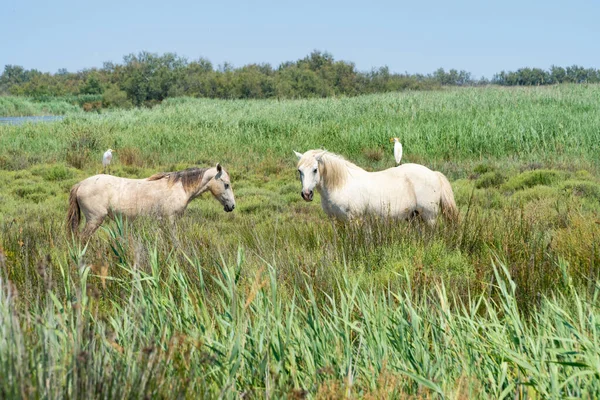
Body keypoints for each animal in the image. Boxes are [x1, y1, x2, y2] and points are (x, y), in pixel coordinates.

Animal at [66, 162, 234, 238]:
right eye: (226, 184)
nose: (231, 206)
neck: (179, 187)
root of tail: (80, 184)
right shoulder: (170, 220)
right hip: (94, 220)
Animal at [292, 150, 458, 225]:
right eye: (300, 171)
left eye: (315, 169)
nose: (306, 194)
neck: (341, 185)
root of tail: (434, 174)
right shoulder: (336, 221)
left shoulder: (354, 220)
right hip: (415, 216)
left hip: (429, 217)